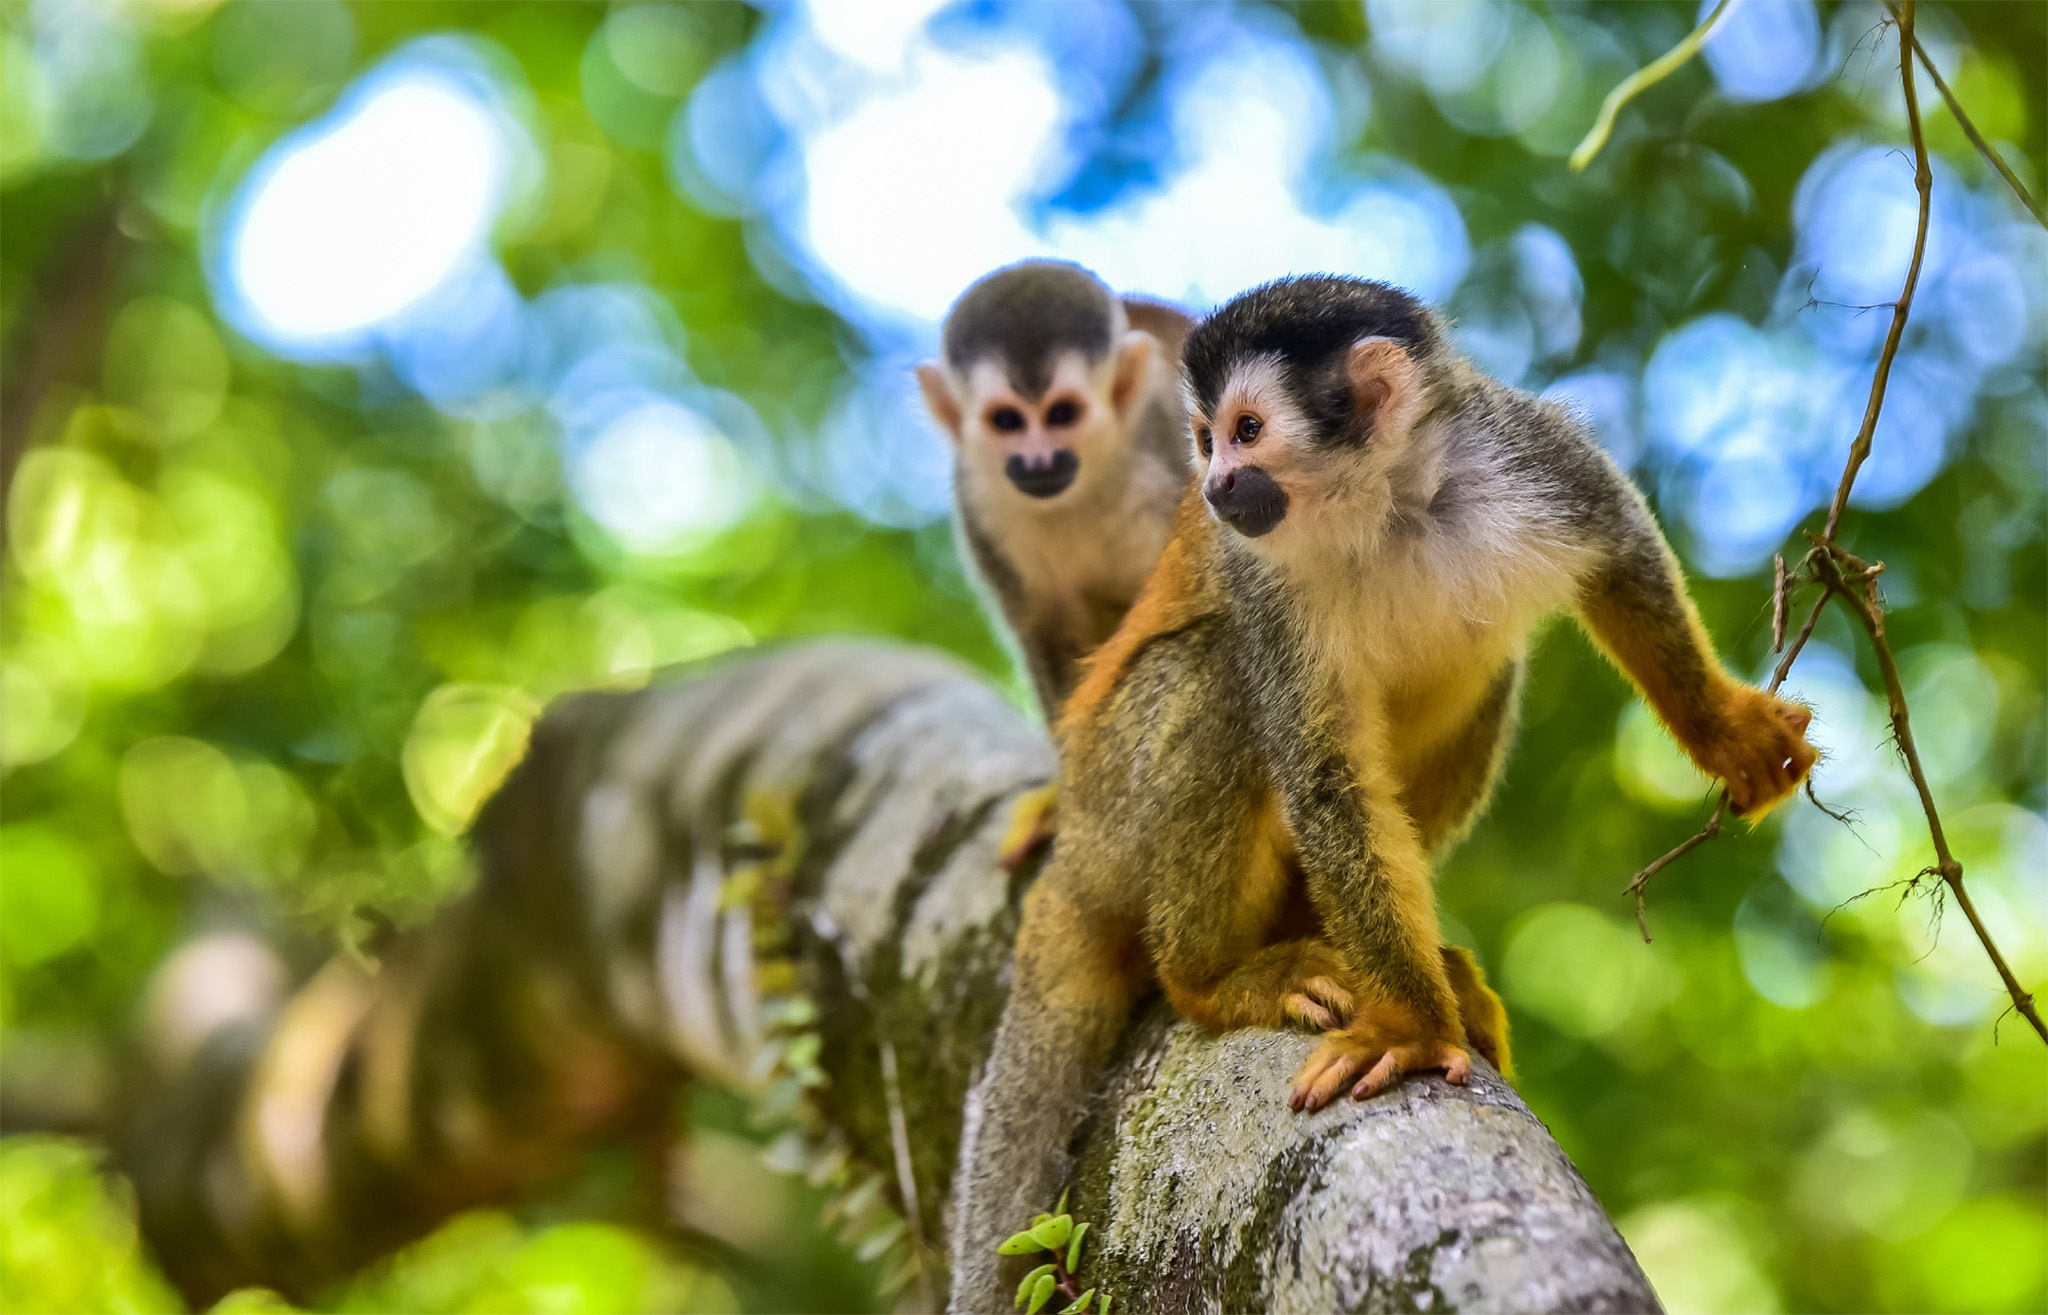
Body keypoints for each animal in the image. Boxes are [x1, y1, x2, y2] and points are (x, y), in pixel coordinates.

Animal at [917, 257, 1196, 720]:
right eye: (1007, 421)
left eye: (1063, 414)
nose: (1040, 462)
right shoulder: (979, 503)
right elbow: (1049, 632)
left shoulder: (1169, 437)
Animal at [946, 274, 1826, 1302]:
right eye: (1206, 438)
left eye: (1246, 431)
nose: (1213, 487)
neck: (1389, 501)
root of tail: (1075, 840)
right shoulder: (1264, 578)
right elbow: (1324, 772)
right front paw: (1408, 1025)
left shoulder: (1526, 451)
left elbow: (1621, 551)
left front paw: (1723, 730)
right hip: (1119, 808)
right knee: (1218, 670)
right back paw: (1211, 975)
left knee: (1490, 673)